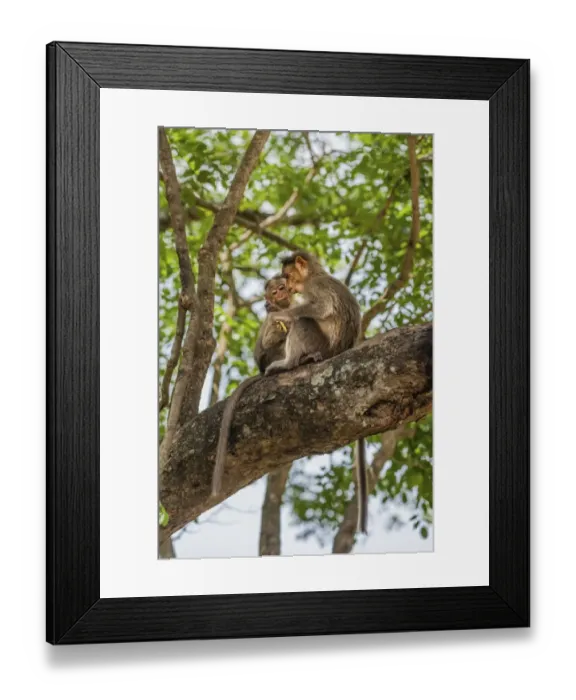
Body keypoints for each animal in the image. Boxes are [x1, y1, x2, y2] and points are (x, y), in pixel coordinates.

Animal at [211, 275, 293, 498]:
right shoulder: (274, 316)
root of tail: (262, 369)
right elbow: (267, 339)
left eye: (282, 287)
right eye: (275, 291)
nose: (280, 293)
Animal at [264, 251, 369, 534]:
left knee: (303, 322)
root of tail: (338, 353)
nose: (288, 288)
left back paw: (289, 362)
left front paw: (281, 315)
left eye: (287, 277)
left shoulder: (314, 287)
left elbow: (320, 308)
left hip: (319, 343)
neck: (315, 274)